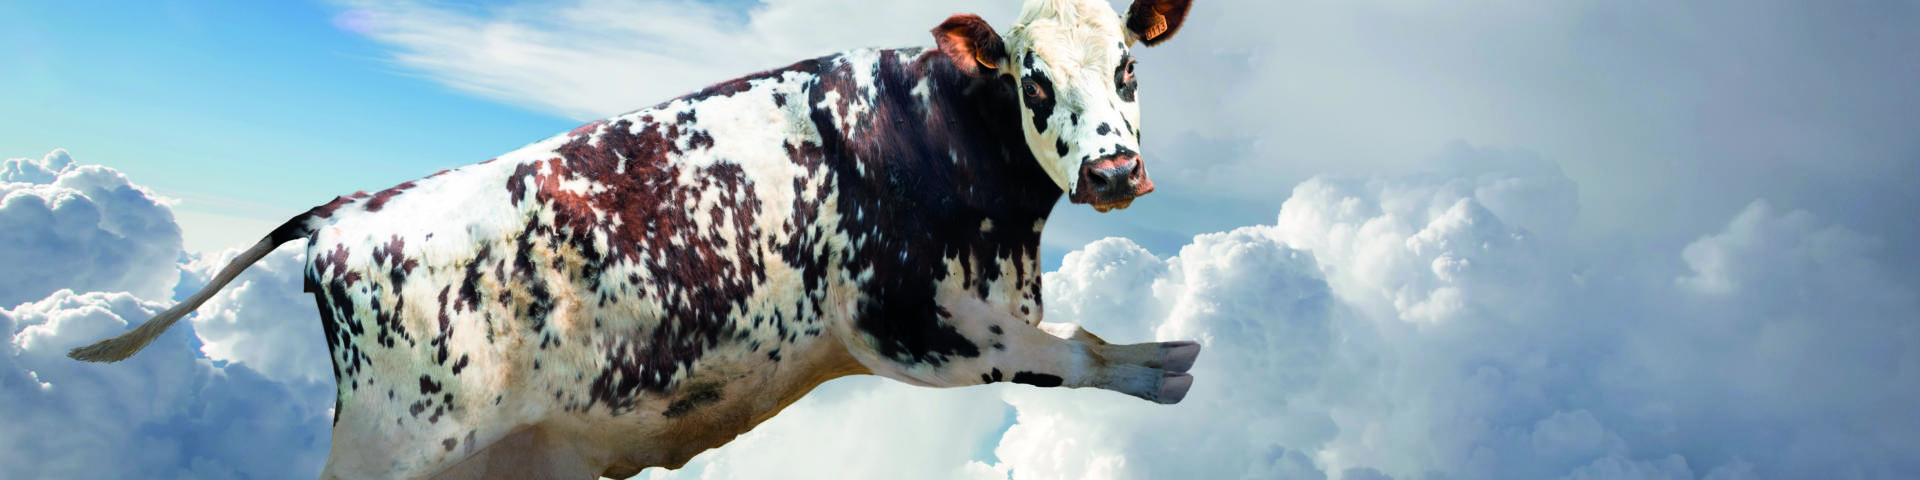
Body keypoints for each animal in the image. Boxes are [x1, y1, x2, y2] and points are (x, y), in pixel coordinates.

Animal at [69, 0, 1200, 478]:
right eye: (1033, 80)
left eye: (1130, 69)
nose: (1111, 171)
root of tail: (347, 210)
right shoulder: (916, 325)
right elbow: (1081, 354)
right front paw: (1171, 367)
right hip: (391, 442)